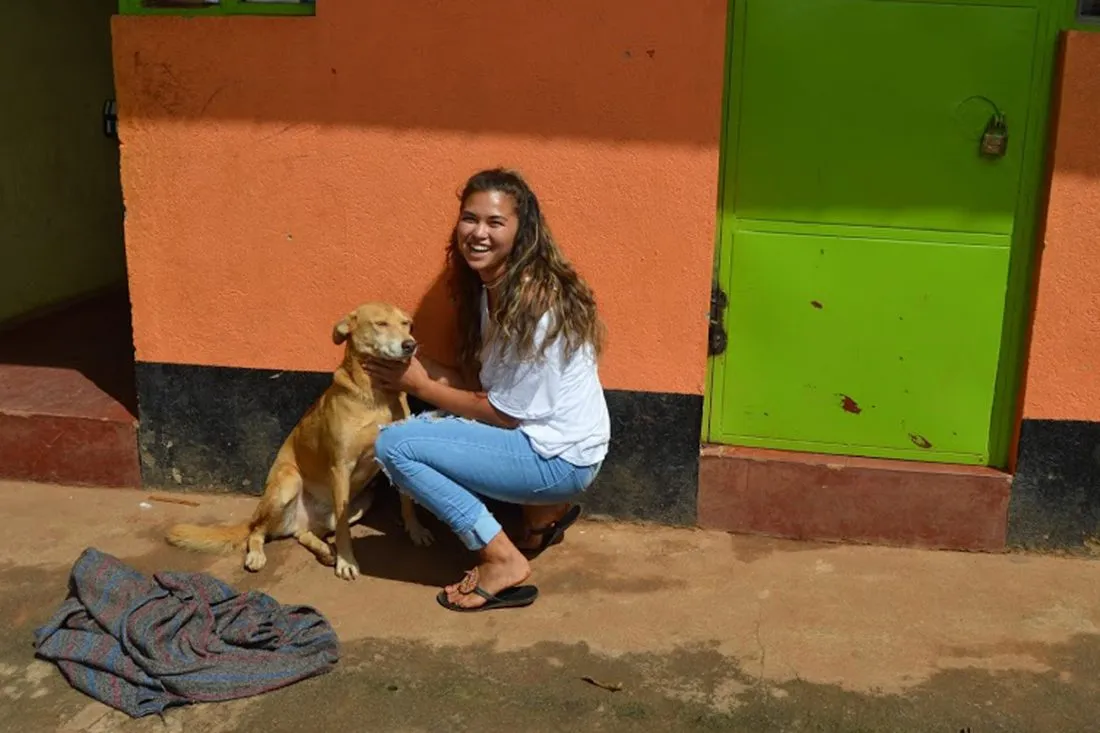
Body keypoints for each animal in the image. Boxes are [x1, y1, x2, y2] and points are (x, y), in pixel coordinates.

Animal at [167, 299, 433, 581]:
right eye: (380, 323)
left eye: (407, 324)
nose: (410, 345)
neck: (376, 395)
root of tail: (298, 519)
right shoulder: (341, 467)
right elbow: (343, 530)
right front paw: (346, 561)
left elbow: (407, 500)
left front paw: (416, 530)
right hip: (288, 483)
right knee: (257, 531)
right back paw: (259, 554)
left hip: (361, 502)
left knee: (304, 534)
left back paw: (325, 551)